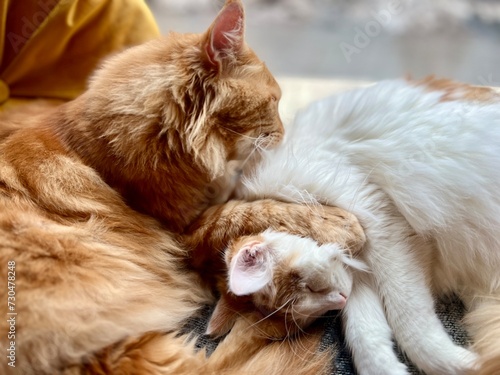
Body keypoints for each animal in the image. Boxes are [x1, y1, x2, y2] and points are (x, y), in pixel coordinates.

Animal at [235, 77, 500, 375]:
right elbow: (365, 337)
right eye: (313, 308)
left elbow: (409, 320)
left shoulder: (382, 221)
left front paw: (467, 363)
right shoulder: (358, 274)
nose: (338, 300)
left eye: (310, 288)